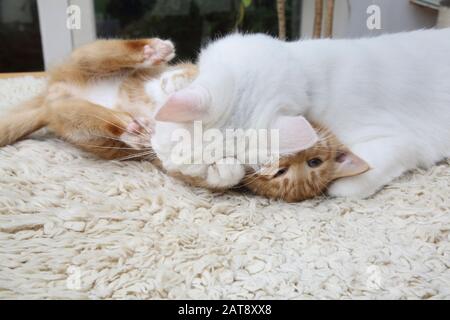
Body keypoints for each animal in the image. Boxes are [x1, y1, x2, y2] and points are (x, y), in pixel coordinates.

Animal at [151, 29, 450, 198]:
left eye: (211, 164)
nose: (170, 166)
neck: (308, 77)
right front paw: (172, 81)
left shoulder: (403, 140)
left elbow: (350, 186)